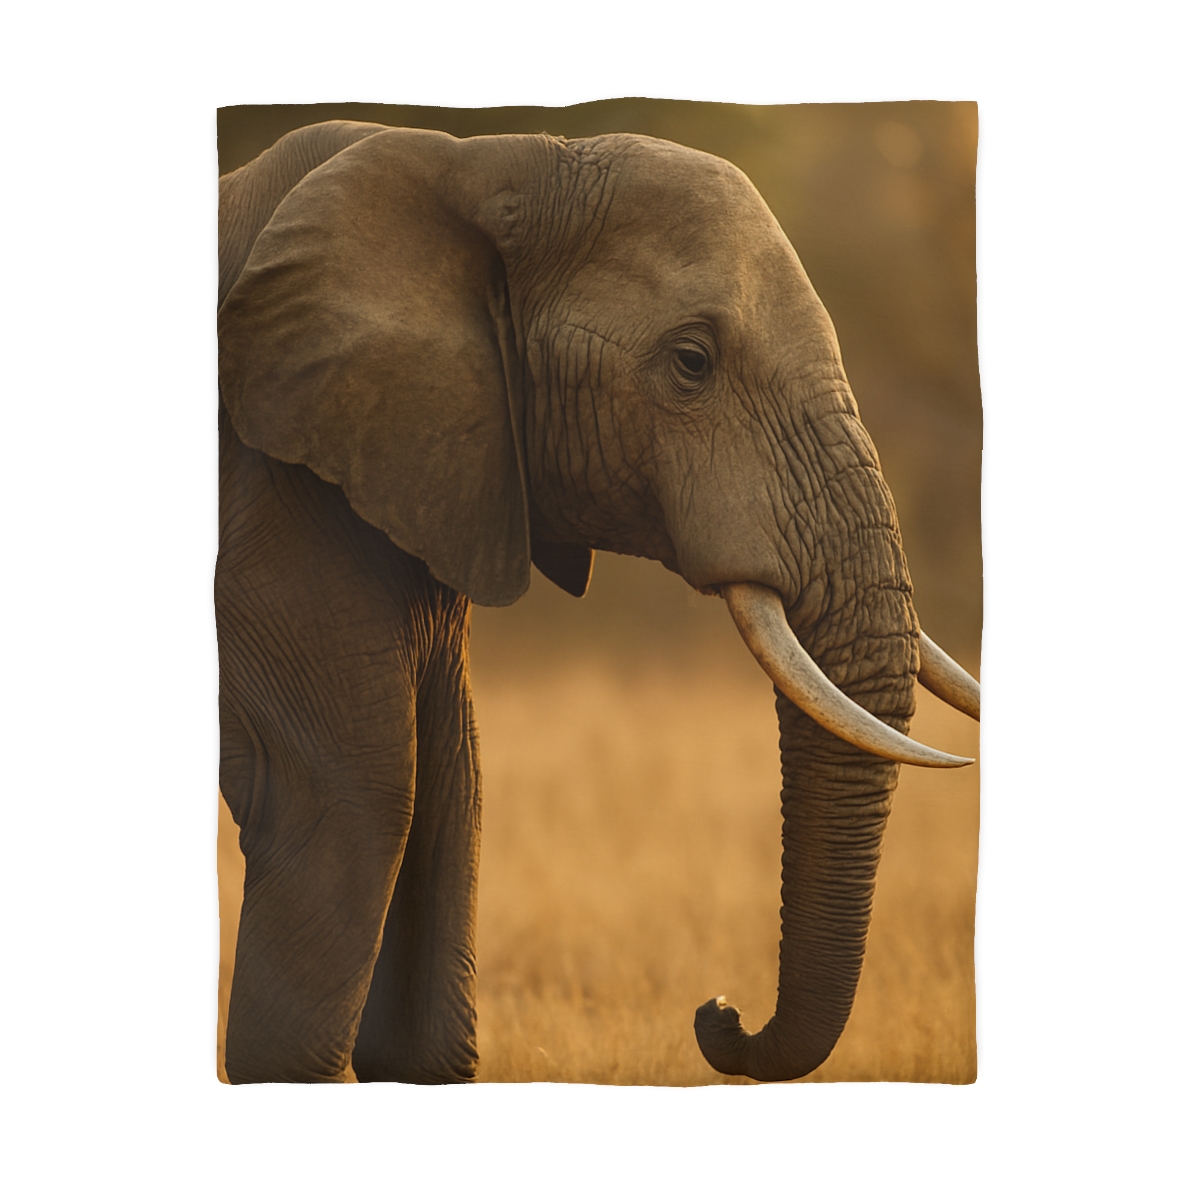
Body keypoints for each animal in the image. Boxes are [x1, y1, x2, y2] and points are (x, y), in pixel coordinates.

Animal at [216, 119, 980, 1085]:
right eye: (692, 362)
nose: (718, 1010)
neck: (478, 158)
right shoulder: (277, 504)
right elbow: (355, 799)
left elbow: (452, 793)